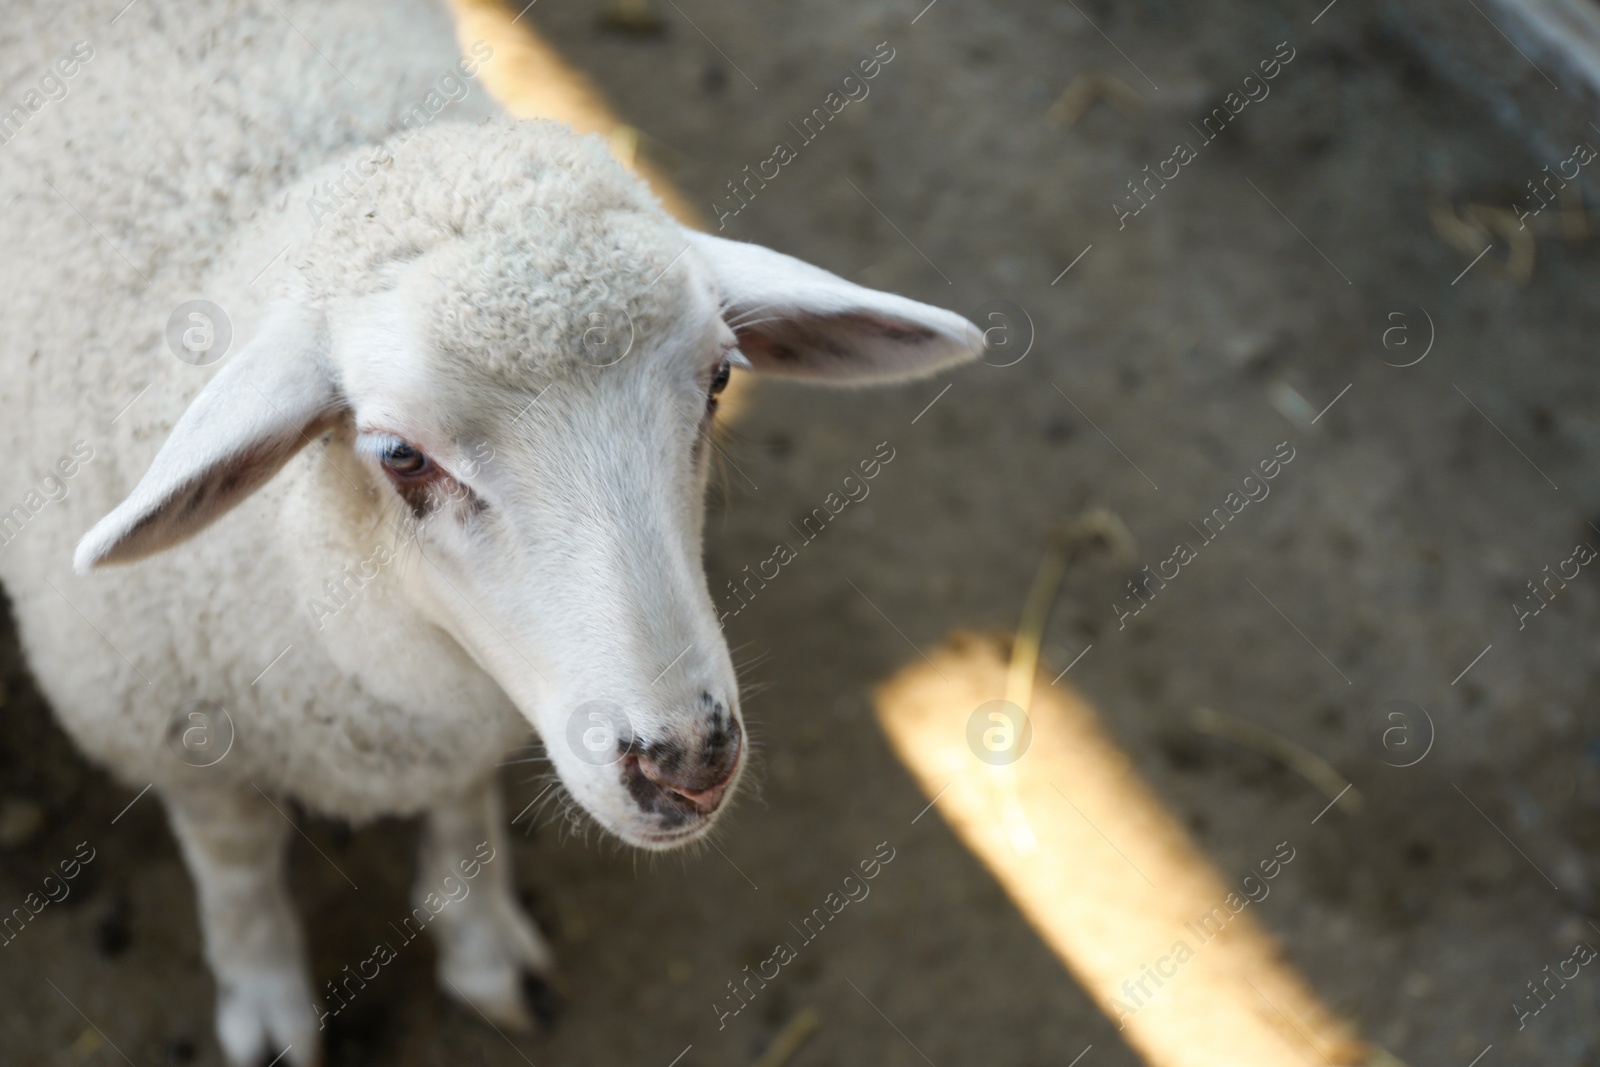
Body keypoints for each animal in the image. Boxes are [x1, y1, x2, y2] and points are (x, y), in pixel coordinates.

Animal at [0, 0, 979, 1062]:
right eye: (399, 454)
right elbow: (238, 867)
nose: (687, 765)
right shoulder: (171, 738)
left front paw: (481, 943)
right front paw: (264, 997)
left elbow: (461, 808)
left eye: (720, 378)